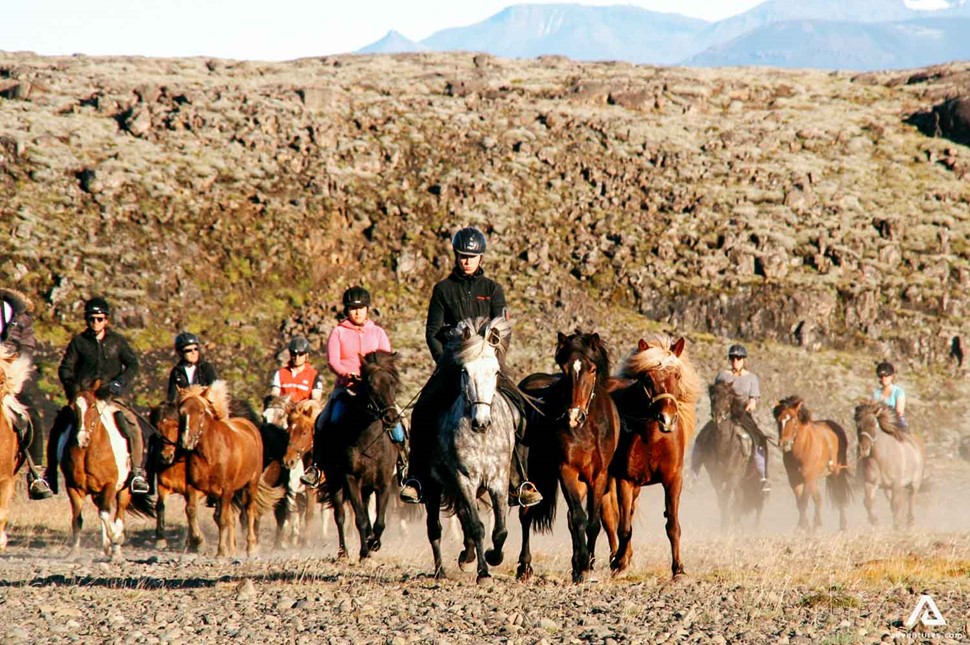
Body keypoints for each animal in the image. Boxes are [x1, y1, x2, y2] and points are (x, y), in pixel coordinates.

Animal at [61, 382, 154, 560]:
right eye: (73, 408)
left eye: (92, 406)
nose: (82, 439)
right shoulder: (73, 487)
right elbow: (77, 519)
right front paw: (73, 552)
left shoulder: (109, 485)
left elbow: (106, 514)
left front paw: (116, 538)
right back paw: (106, 548)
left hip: (124, 490)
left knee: (118, 513)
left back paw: (116, 550)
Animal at [516, 330, 620, 580]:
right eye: (563, 369)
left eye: (592, 369)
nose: (574, 416)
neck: (587, 430)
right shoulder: (566, 471)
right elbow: (579, 518)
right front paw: (582, 564)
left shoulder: (598, 476)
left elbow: (592, 522)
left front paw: (586, 565)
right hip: (533, 474)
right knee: (526, 515)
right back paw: (524, 567)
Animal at [604, 334, 696, 576]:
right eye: (647, 378)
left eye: (677, 375)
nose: (667, 419)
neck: (653, 438)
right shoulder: (624, 480)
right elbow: (624, 527)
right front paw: (619, 563)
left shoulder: (673, 479)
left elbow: (672, 524)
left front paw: (678, 569)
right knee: (610, 518)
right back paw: (615, 558)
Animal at [772, 394, 848, 532]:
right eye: (778, 420)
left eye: (793, 419)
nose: (783, 443)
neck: (802, 449)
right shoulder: (794, 479)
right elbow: (799, 503)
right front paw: (803, 525)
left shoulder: (808, 478)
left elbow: (804, 501)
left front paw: (803, 526)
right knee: (818, 499)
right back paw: (817, 524)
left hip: (836, 472)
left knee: (839, 494)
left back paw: (843, 526)